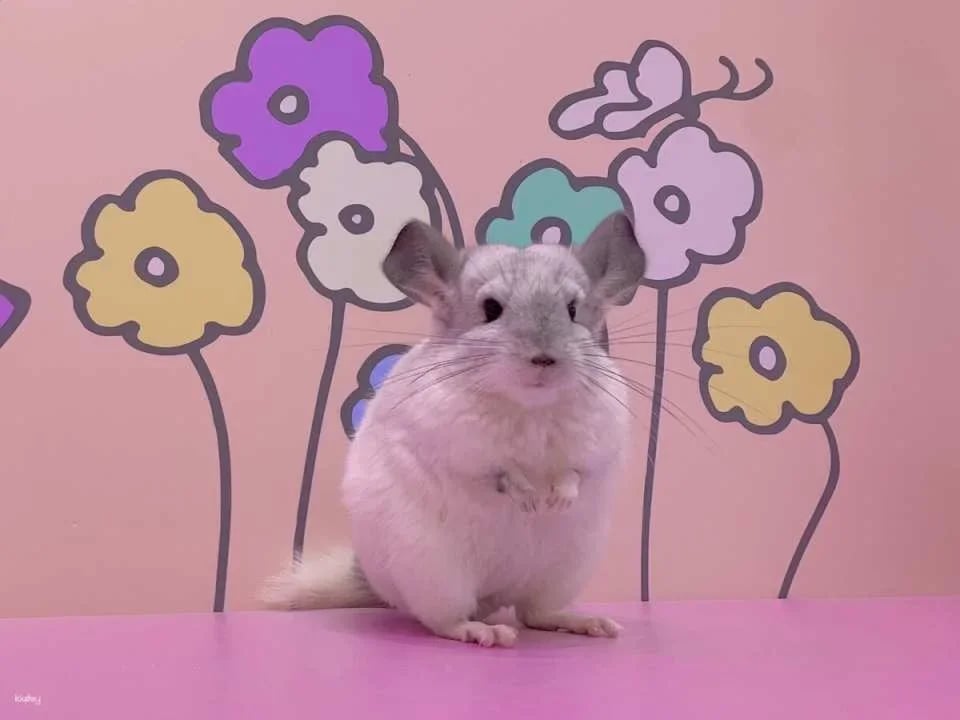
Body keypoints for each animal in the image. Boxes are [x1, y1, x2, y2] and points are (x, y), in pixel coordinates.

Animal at [263, 212, 646, 648]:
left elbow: (575, 473)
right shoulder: (461, 447)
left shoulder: (596, 448)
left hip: (565, 571)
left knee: (535, 613)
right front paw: (531, 499)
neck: (529, 405)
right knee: (445, 622)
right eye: (491, 309)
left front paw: (557, 500)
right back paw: (485, 632)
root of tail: (494, 596)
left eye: (572, 309)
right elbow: (501, 474)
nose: (544, 359)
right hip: (436, 575)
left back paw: (588, 623)